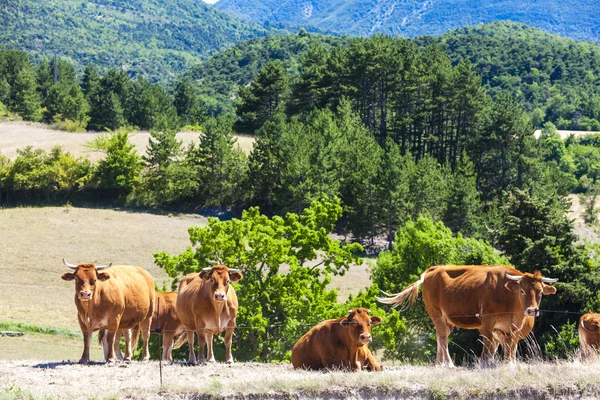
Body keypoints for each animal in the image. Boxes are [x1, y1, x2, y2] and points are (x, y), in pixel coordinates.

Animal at [376, 264, 556, 368]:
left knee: (440, 337)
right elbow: (488, 344)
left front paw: (509, 363)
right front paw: (486, 363)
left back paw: (439, 362)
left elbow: (509, 345)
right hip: (437, 314)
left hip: (446, 319)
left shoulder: (510, 328)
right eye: (522, 291)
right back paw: (448, 363)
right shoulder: (487, 322)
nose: (532, 310)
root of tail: (434, 269)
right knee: (442, 337)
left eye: (540, 292)